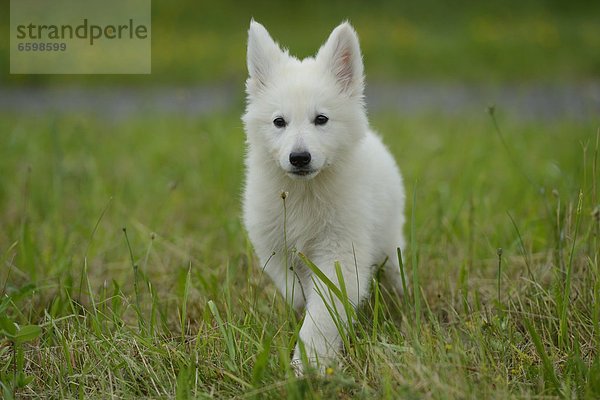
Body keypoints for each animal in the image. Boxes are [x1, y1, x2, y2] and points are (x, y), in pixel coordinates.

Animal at [241, 20, 406, 370]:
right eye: (279, 122)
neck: (305, 192)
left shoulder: (340, 251)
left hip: (390, 240)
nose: (299, 158)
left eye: (321, 119)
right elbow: (296, 291)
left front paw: (309, 364)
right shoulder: (275, 247)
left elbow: (322, 314)